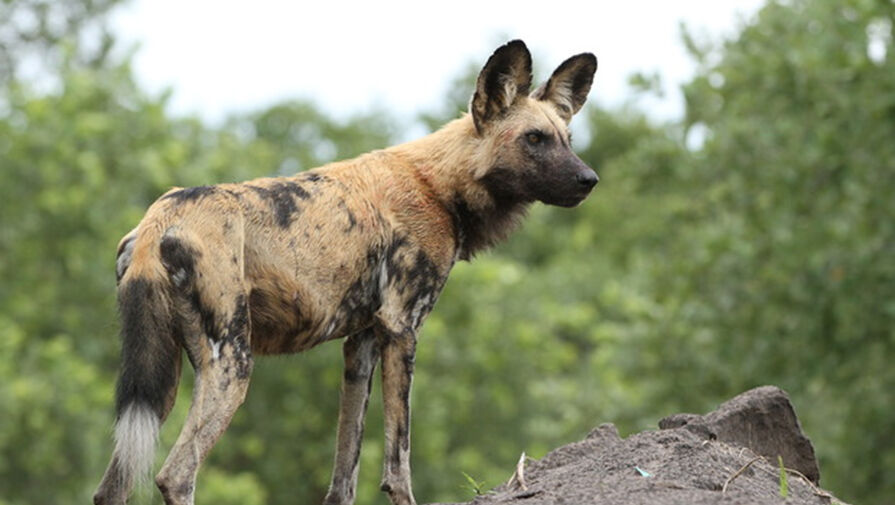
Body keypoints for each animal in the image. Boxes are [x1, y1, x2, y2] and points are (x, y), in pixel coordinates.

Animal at [94, 40, 600, 504]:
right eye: (534, 139)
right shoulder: (402, 328)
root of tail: (161, 215)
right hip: (232, 365)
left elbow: (344, 472)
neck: (441, 185)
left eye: (567, 140)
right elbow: (399, 463)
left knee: (112, 487)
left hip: (161, 379)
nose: (589, 180)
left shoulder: (362, 343)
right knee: (176, 475)